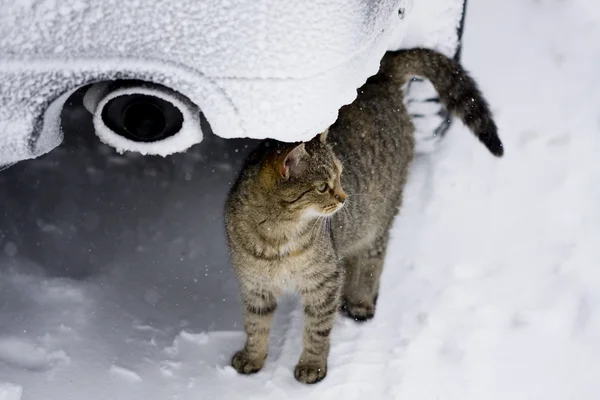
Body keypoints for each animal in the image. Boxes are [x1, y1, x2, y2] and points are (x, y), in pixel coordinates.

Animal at [224, 47, 502, 384]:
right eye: (322, 187)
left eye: (341, 176)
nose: (343, 197)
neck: (279, 234)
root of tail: (381, 75)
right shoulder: (255, 286)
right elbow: (255, 326)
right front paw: (252, 357)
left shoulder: (324, 281)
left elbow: (317, 330)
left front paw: (312, 365)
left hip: (380, 216)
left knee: (372, 258)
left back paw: (360, 300)